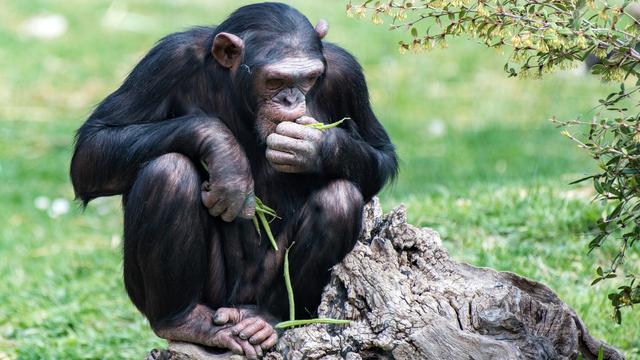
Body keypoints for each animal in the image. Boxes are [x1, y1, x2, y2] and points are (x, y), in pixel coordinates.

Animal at [72, 2, 398, 358]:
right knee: (169, 171)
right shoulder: (166, 60)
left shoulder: (347, 75)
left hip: (264, 295)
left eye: (310, 78)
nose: (291, 100)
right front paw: (226, 156)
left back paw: (267, 318)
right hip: (199, 297)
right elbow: (93, 147)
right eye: (275, 80)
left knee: (339, 198)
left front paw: (315, 146)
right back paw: (183, 319)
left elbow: (380, 154)